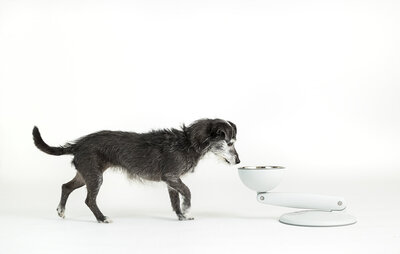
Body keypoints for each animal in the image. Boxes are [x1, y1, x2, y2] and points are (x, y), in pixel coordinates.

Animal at [32, 118, 239, 222]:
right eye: (229, 143)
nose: (238, 160)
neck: (188, 142)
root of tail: (78, 144)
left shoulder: (171, 182)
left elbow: (175, 201)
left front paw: (181, 215)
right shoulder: (172, 177)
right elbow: (187, 192)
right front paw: (187, 209)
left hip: (84, 174)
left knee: (66, 186)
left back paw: (61, 211)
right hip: (95, 177)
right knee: (89, 200)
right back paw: (101, 218)